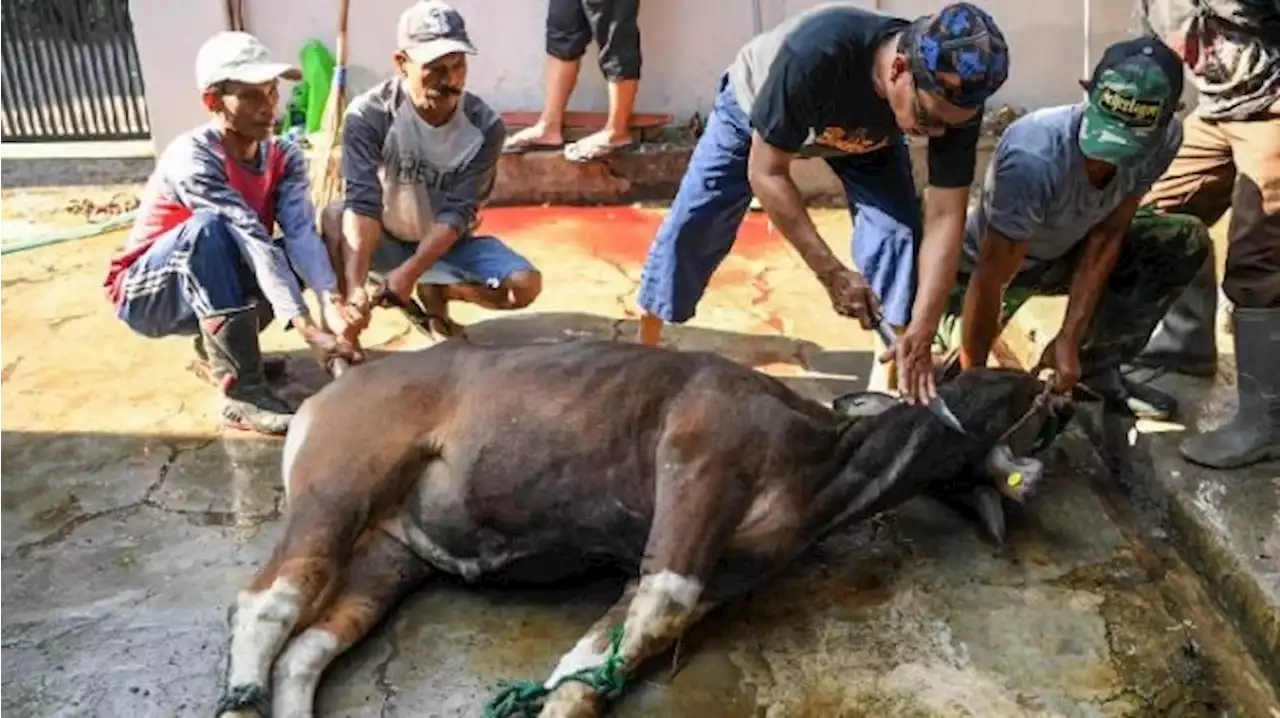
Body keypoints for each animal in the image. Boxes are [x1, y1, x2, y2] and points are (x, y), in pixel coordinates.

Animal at [215, 340, 1064, 716]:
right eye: (985, 378)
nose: (1048, 387)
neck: (828, 463)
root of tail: (325, 395)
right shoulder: (698, 468)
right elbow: (656, 605)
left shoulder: (721, 579)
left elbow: (601, 660)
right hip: (338, 486)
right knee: (267, 603)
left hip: (391, 557)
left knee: (308, 647)